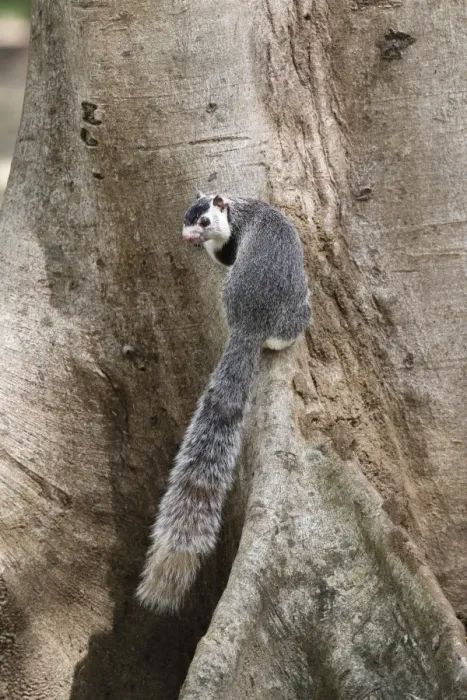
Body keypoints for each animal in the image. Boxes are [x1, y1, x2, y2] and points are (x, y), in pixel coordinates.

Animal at [137, 192, 311, 612]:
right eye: (186, 217)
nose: (186, 238)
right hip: (295, 310)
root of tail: (250, 324)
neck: (242, 208)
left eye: (202, 220)